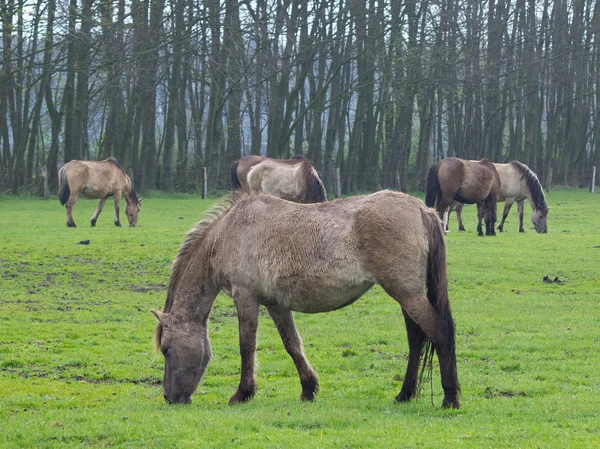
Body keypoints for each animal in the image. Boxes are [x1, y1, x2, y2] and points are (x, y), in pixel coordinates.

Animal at [150, 191, 460, 408]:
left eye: (166, 349)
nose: (170, 397)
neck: (228, 233)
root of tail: (422, 209)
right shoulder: (275, 303)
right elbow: (292, 344)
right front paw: (308, 389)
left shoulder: (246, 297)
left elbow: (246, 346)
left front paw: (242, 393)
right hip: (408, 296)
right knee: (417, 340)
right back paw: (405, 394)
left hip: (407, 294)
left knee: (439, 333)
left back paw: (450, 398)